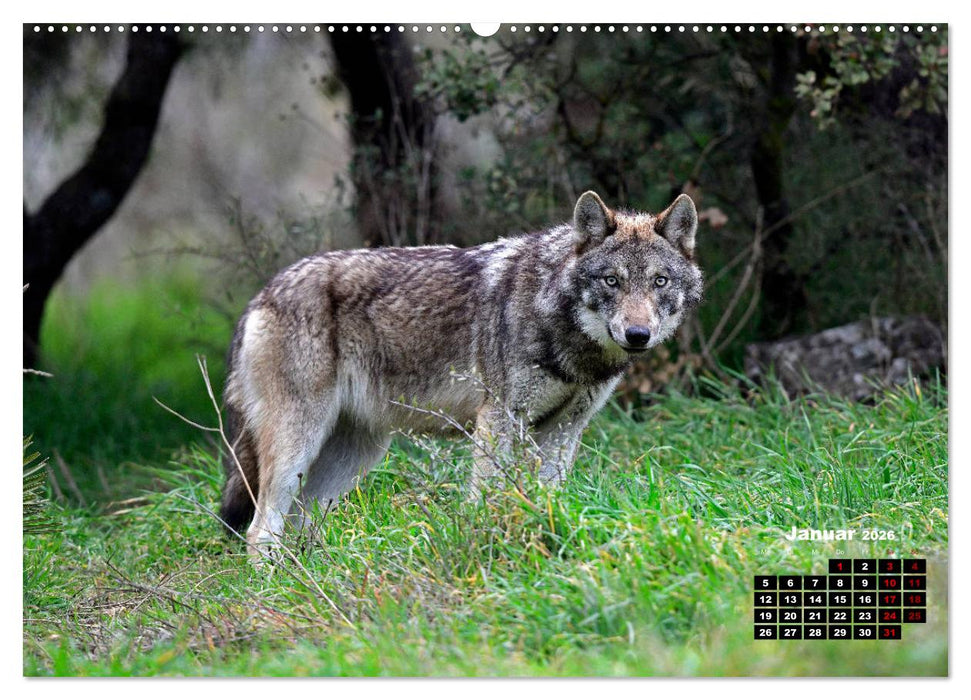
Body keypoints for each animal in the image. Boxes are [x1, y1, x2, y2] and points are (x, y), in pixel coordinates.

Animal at [220, 191, 703, 555]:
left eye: (659, 281)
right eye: (612, 281)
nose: (638, 335)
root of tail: (260, 295)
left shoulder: (564, 430)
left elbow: (549, 498)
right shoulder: (499, 419)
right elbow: (488, 497)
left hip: (353, 456)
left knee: (297, 522)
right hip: (301, 442)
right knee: (260, 528)